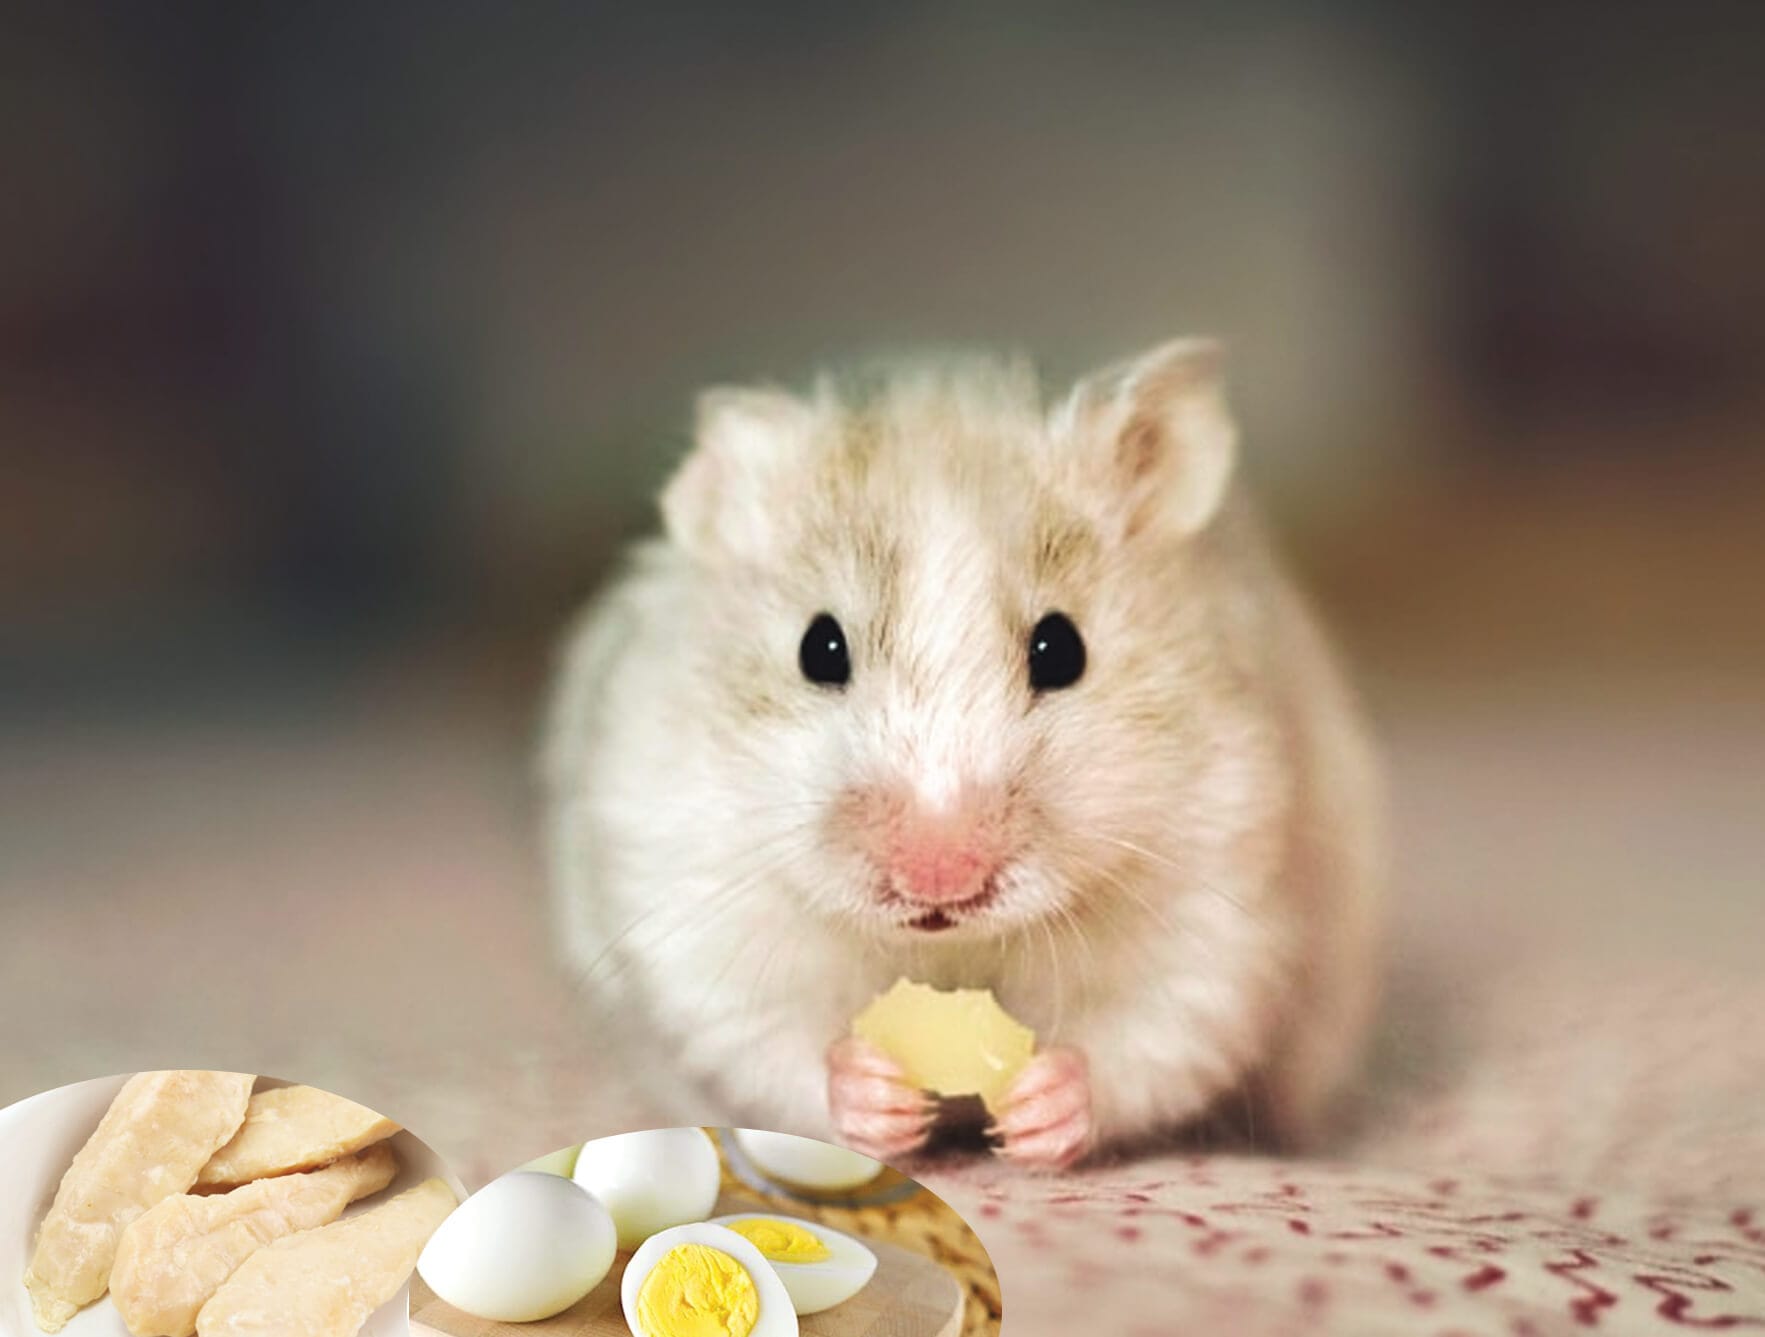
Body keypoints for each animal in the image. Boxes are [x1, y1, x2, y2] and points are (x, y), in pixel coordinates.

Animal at [543, 338, 1386, 1168]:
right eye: (819, 647)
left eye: (1061, 649)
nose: (938, 877)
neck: (951, 953)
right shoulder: (697, 913)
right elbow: (776, 1045)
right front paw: (881, 1102)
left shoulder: (1219, 917)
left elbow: (1143, 1042)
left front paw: (1036, 1109)